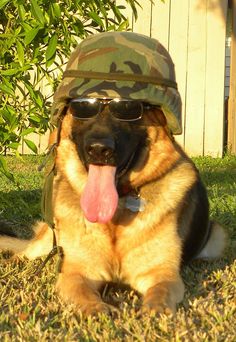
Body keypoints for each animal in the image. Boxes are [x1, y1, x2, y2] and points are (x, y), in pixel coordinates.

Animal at [0, 105, 226, 316]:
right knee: (26, 251)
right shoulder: (76, 274)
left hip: (218, 236)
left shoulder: (163, 274)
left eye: (128, 110)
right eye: (84, 109)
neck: (115, 214)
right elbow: (84, 293)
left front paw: (155, 310)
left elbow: (160, 292)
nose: (99, 150)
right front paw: (96, 308)